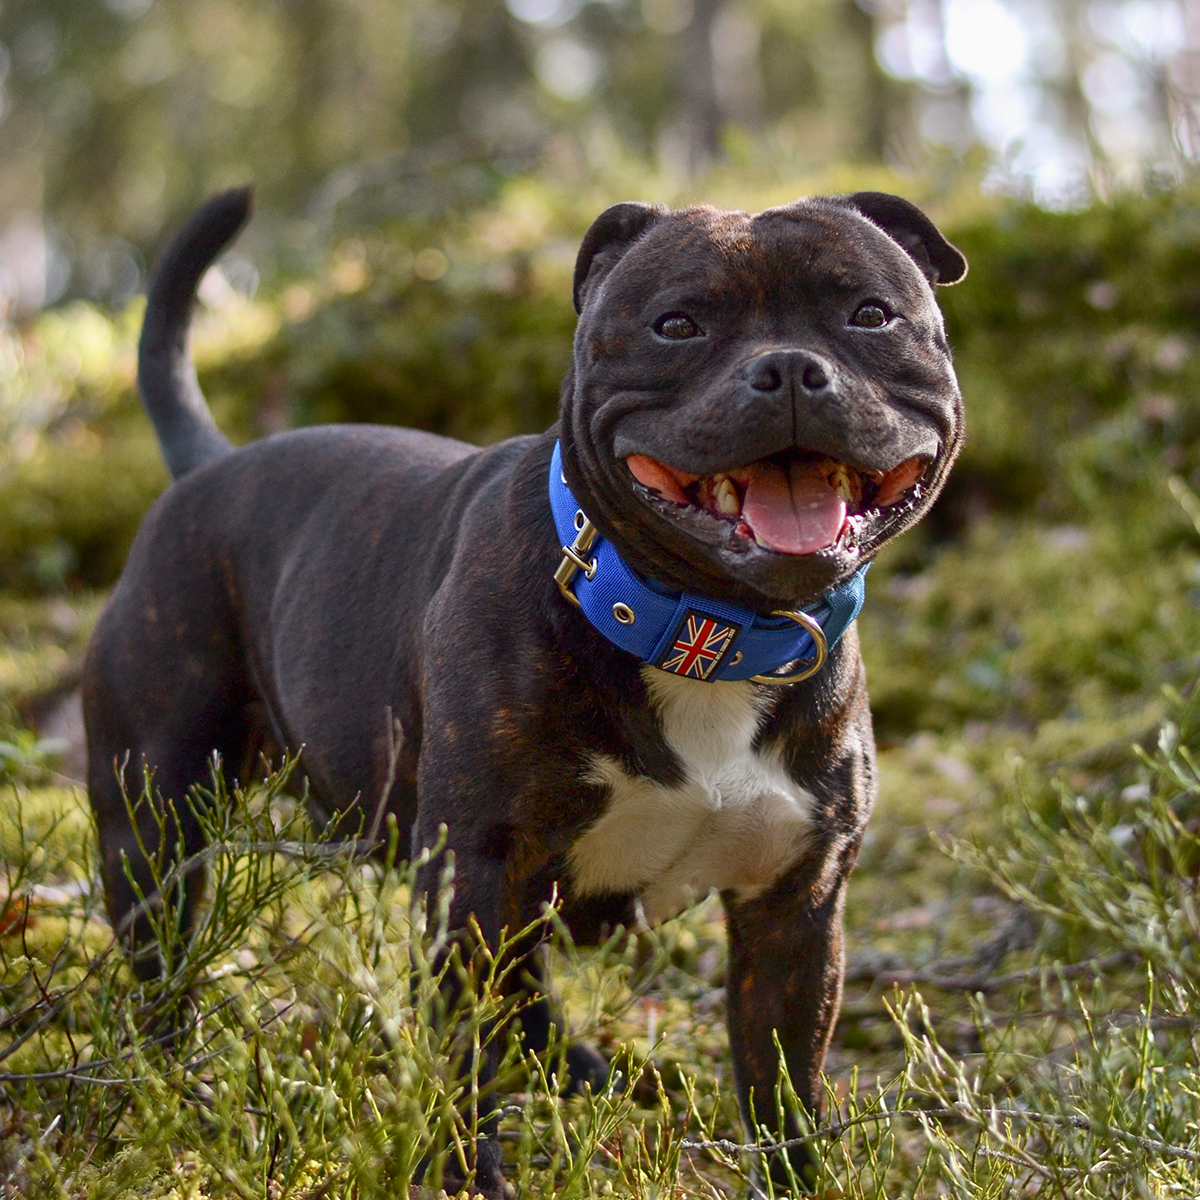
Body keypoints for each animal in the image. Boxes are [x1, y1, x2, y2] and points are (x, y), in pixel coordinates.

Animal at [84, 187, 964, 1190]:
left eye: (870, 315)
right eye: (677, 324)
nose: (787, 369)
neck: (703, 631)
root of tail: (208, 465)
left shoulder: (795, 906)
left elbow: (785, 1089)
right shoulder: (478, 873)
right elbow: (465, 1066)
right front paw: (471, 1178)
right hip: (154, 815)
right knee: (164, 958)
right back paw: (173, 1083)